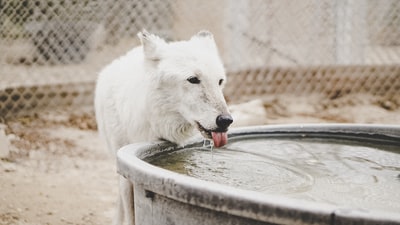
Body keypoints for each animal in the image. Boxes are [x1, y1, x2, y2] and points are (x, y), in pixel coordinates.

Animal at [94, 30, 231, 225]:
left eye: (219, 81)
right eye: (193, 79)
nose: (226, 120)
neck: (160, 126)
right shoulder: (126, 169)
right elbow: (130, 213)